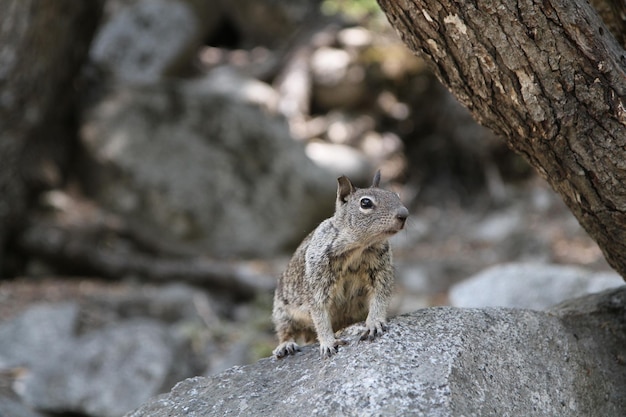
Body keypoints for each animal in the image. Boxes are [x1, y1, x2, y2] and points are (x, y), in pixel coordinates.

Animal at [270, 169, 408, 358]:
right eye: (365, 203)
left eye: (396, 195)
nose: (404, 214)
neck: (359, 248)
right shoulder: (318, 280)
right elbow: (320, 313)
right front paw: (328, 342)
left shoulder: (381, 272)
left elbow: (379, 297)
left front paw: (374, 323)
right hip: (282, 310)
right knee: (285, 330)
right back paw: (286, 345)